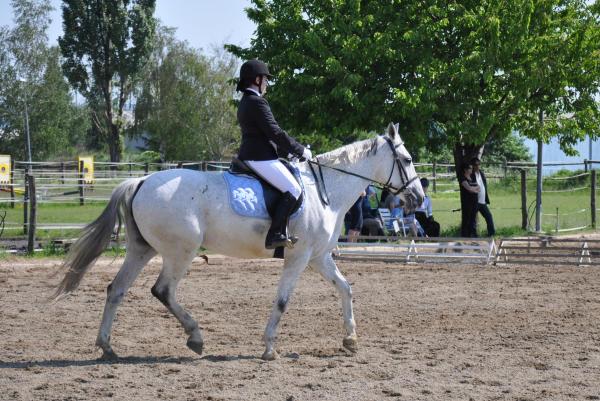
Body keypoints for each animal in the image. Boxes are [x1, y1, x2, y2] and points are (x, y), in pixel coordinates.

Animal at [51, 122, 424, 361]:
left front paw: (350, 339)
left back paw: (107, 347)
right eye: (406, 160)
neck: (325, 190)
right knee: (163, 290)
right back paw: (195, 338)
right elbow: (283, 301)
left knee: (116, 289)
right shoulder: (299, 256)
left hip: (143, 250)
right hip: (181, 251)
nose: (418, 199)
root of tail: (141, 180)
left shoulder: (319, 257)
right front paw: (269, 348)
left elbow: (345, 289)